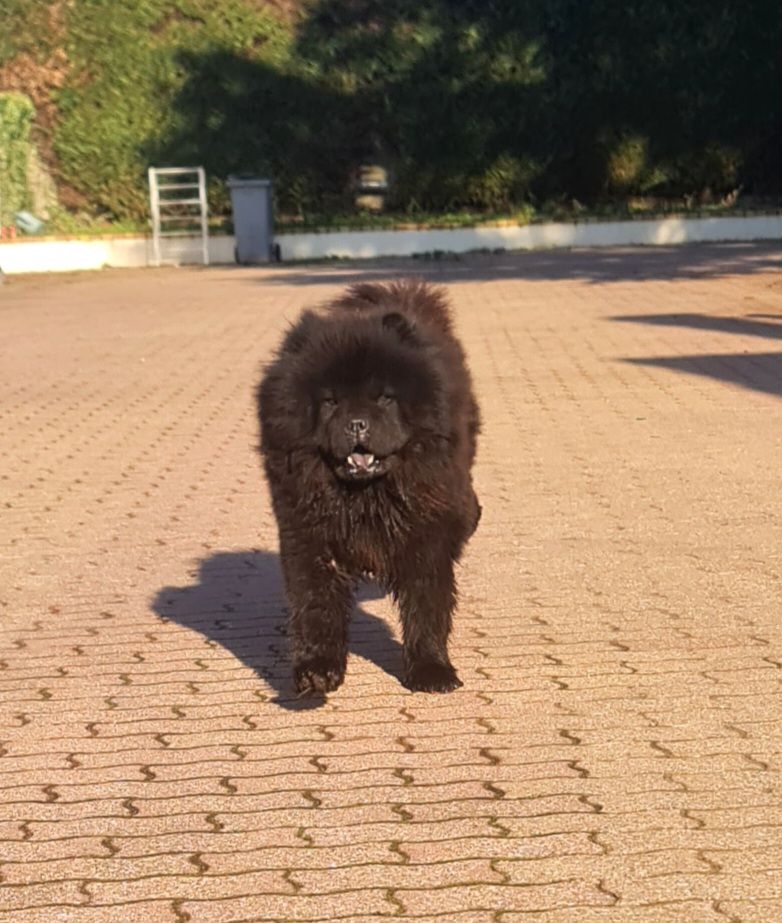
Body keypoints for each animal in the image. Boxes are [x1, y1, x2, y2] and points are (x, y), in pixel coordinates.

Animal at [258, 280, 480, 692]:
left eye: (385, 397)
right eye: (330, 401)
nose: (357, 423)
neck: (366, 498)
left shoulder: (427, 532)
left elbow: (427, 603)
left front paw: (432, 670)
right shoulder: (307, 534)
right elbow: (315, 603)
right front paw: (316, 670)